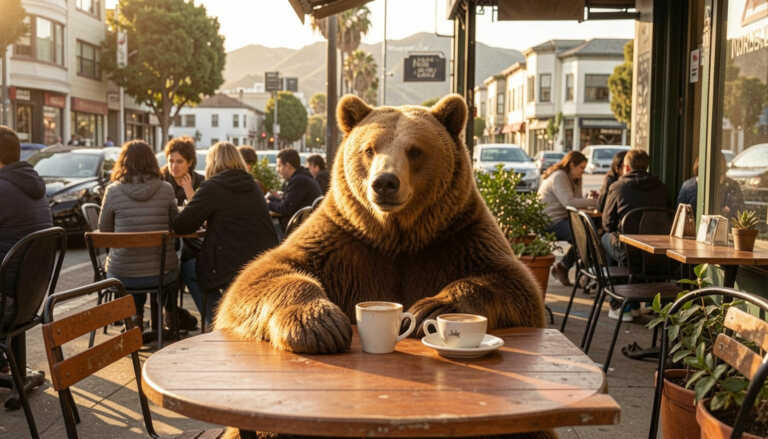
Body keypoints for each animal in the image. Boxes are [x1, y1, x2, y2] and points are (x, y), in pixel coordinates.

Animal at [215, 94, 554, 439]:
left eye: (415, 150)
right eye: (369, 149)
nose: (385, 182)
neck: (397, 236)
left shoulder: (460, 239)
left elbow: (514, 284)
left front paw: (430, 309)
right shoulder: (341, 243)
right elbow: (263, 274)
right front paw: (318, 324)